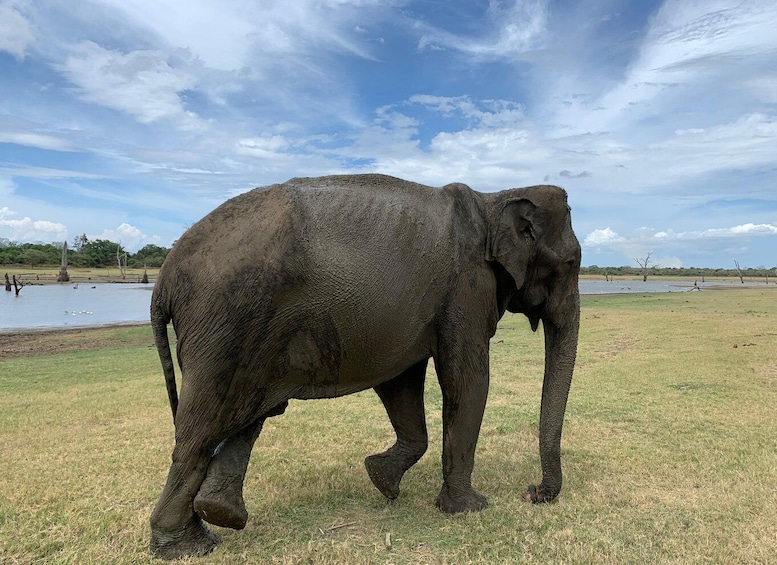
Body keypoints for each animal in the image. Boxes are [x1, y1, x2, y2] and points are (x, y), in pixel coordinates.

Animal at [149, 174, 580, 556]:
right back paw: (189, 546)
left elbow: (401, 382)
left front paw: (382, 481)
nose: (532, 493)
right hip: (226, 324)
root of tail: (163, 280)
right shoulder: (466, 289)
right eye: (572, 262)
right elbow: (467, 380)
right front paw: (469, 509)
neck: (494, 198)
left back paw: (215, 518)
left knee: (250, 412)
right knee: (204, 429)